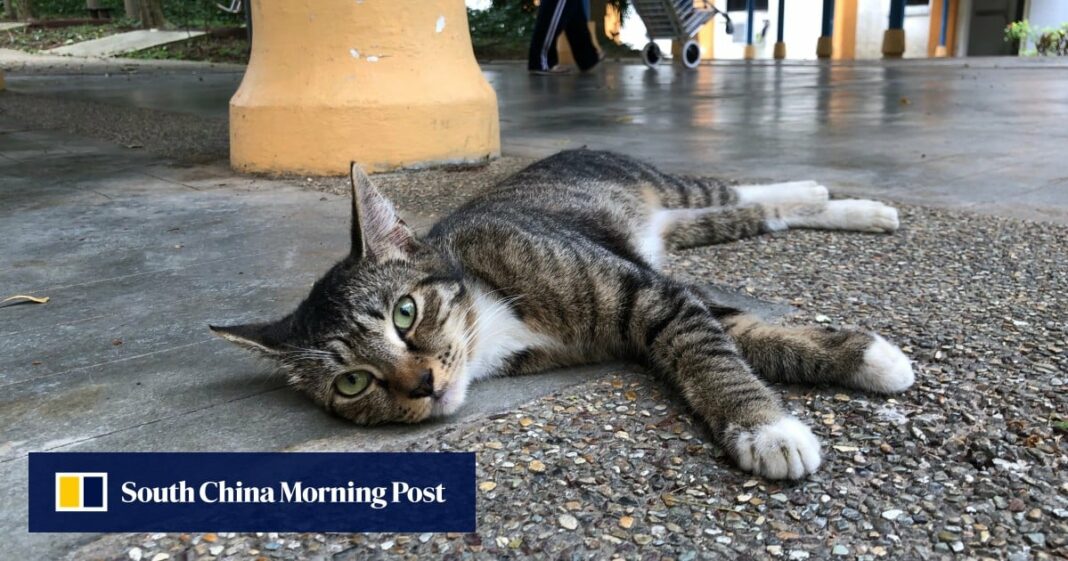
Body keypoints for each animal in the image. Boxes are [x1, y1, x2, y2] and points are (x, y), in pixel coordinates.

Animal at [212, 150, 914, 478]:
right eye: (353, 382)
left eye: (405, 313)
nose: (424, 386)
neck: (492, 311)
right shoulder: (663, 298)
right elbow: (744, 334)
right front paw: (868, 360)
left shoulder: (651, 294)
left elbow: (710, 353)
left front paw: (766, 430)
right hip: (685, 229)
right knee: (753, 214)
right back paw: (848, 206)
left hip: (666, 192)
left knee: (742, 192)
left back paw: (836, 195)